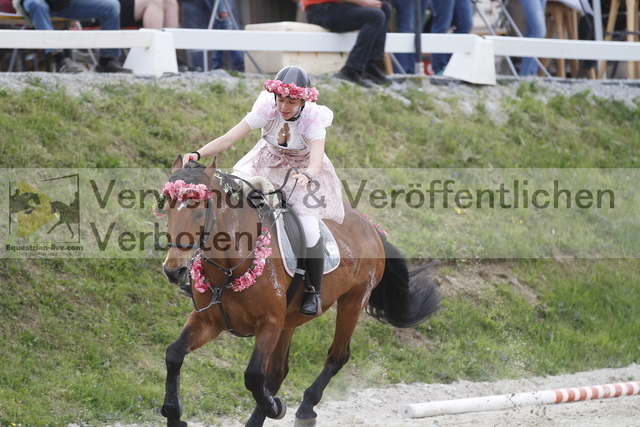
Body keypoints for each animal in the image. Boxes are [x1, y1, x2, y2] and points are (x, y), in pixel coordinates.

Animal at [160, 157, 440, 427]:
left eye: (199, 211)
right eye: (168, 208)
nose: (174, 271)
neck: (230, 266)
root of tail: (370, 227)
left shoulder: (269, 324)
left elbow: (253, 376)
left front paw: (275, 407)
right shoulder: (208, 321)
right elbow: (174, 354)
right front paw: (173, 414)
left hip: (354, 300)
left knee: (337, 356)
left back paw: (305, 408)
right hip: (290, 321)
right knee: (278, 371)